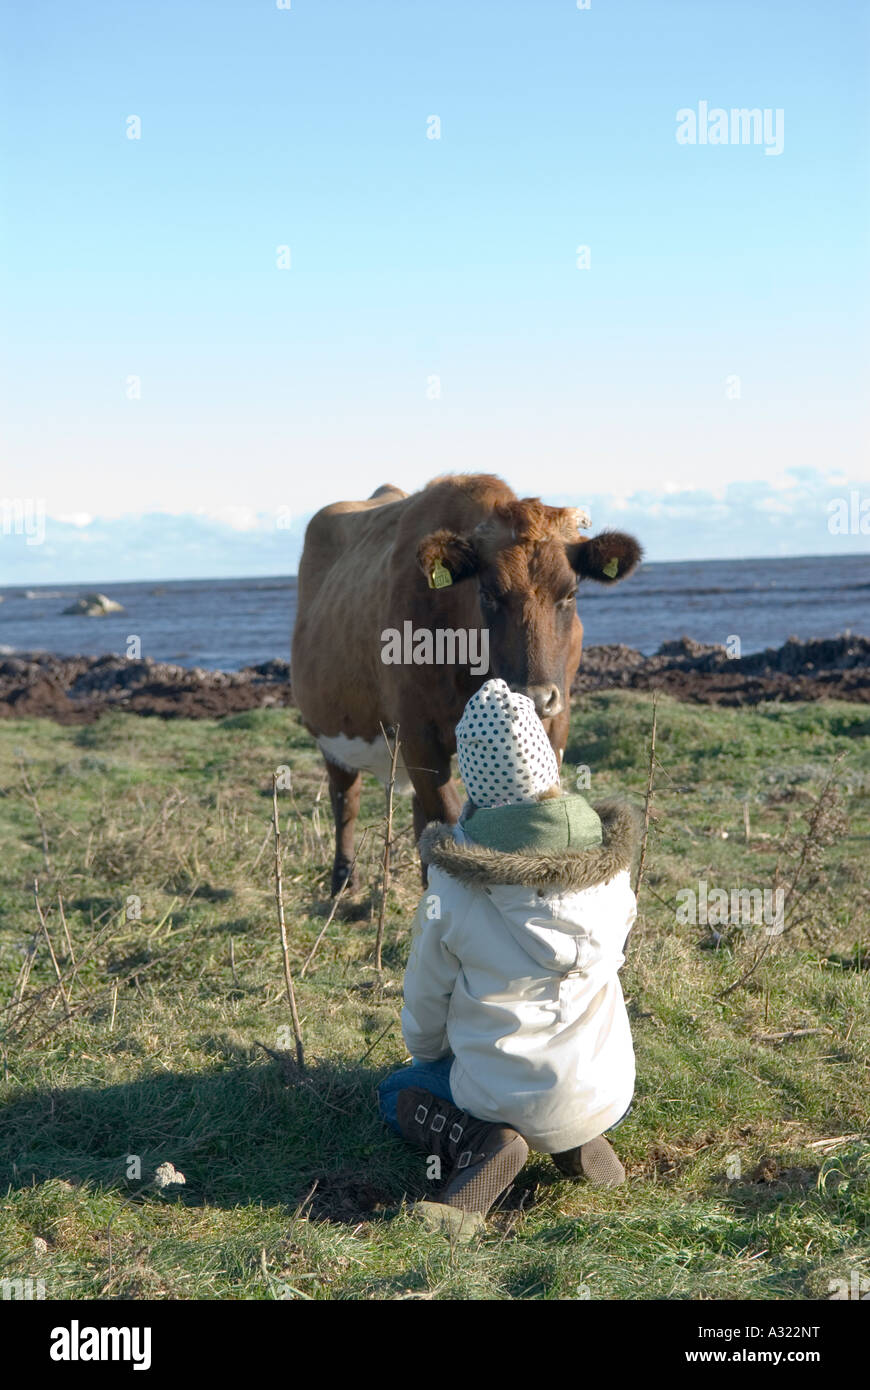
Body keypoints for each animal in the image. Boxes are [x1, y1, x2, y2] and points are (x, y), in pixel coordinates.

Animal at [290, 473, 642, 893]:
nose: (535, 697)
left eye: (571, 593)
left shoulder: (556, 722)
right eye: (488, 593)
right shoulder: (418, 733)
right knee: (346, 799)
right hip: (333, 733)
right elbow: (448, 815)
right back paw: (343, 881)